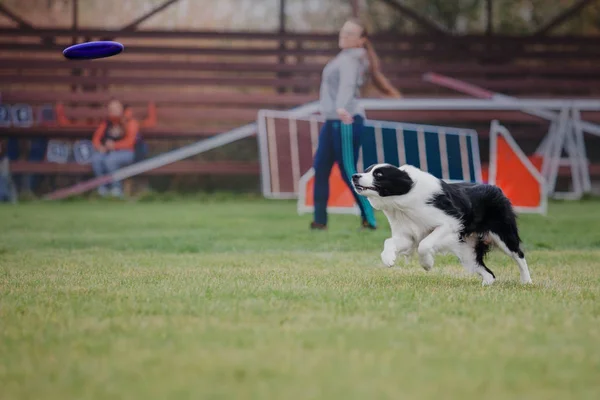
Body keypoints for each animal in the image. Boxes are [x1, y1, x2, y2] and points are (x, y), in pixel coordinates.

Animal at [354, 162, 532, 284]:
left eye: (379, 175)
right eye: (366, 170)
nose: (355, 176)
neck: (404, 197)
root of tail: (497, 189)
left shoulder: (450, 222)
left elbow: (424, 244)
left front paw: (427, 264)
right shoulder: (407, 233)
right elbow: (390, 241)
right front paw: (388, 259)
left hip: (502, 234)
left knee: (518, 254)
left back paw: (526, 281)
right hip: (467, 250)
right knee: (488, 273)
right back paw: (486, 285)